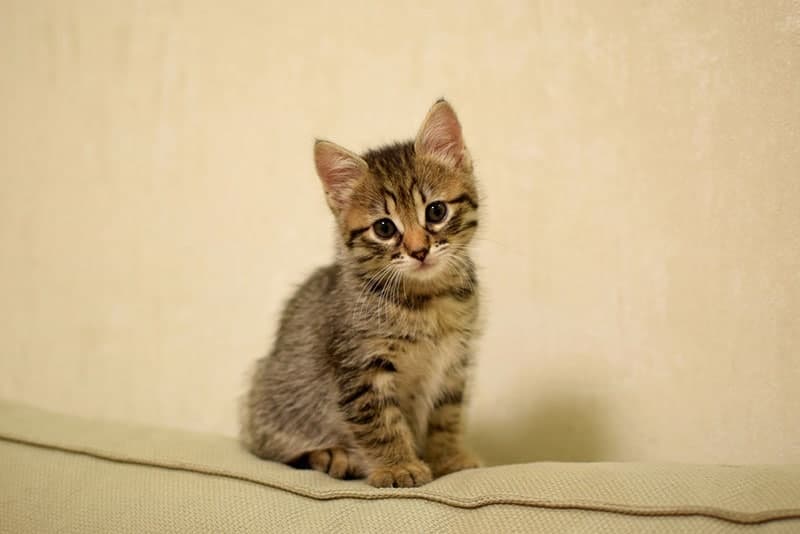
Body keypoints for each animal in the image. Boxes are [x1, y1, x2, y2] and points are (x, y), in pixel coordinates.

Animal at [241, 100, 482, 490]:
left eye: (436, 211)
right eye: (384, 228)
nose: (419, 251)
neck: (427, 301)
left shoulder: (453, 364)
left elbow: (446, 416)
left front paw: (448, 458)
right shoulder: (360, 367)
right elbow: (381, 423)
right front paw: (399, 466)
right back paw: (334, 456)